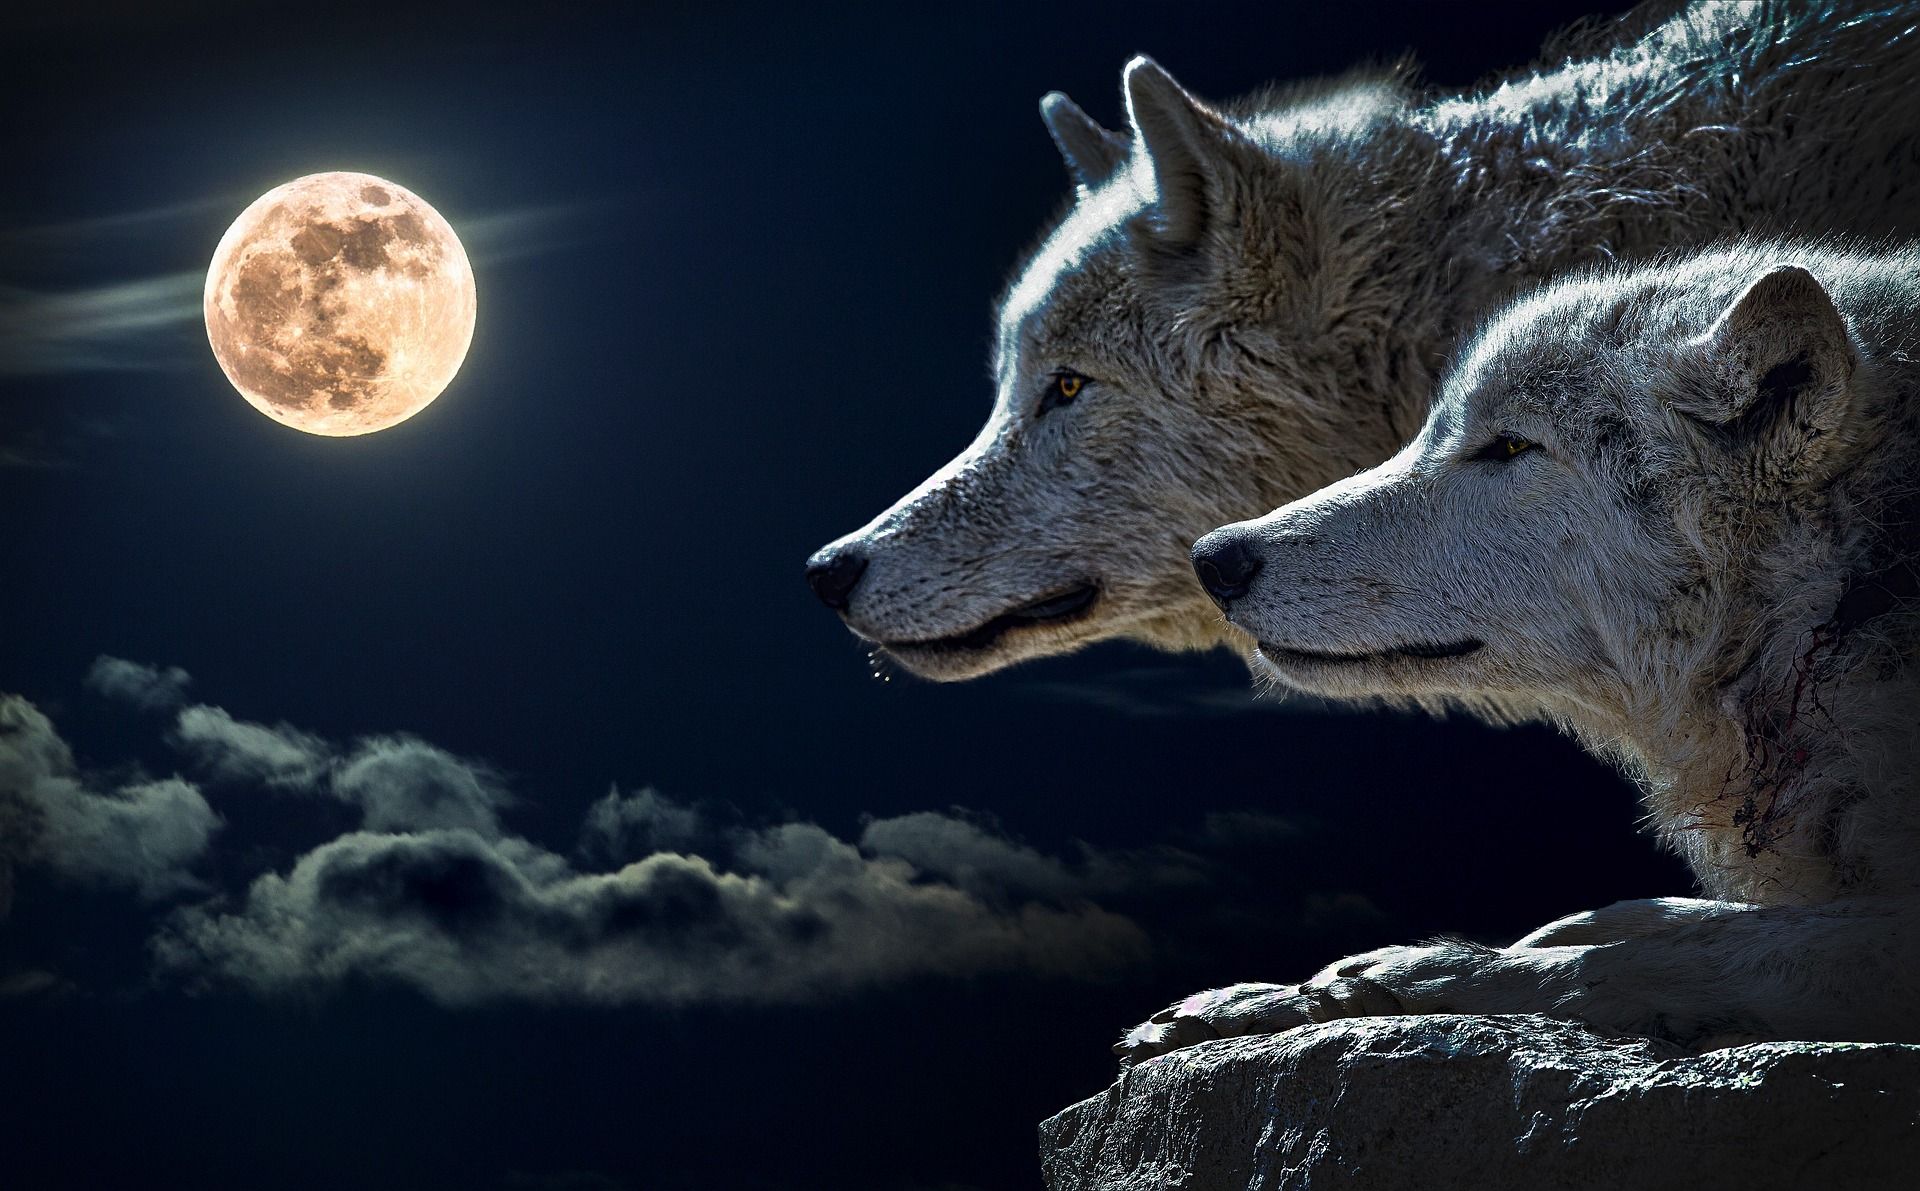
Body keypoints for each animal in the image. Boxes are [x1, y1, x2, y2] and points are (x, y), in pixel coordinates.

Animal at [1120, 242, 1920, 1060]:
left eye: (1508, 445)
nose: (1214, 558)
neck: (1839, 605)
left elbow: (1656, 954)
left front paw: (1406, 976)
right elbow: (1651, 916)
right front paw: (1258, 998)